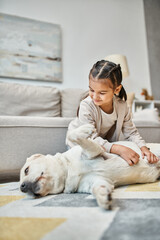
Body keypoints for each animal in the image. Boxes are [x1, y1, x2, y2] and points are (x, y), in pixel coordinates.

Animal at [20, 124, 160, 209]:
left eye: (26, 170)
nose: (22, 187)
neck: (68, 171)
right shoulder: (97, 180)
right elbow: (96, 188)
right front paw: (103, 196)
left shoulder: (96, 150)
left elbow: (74, 136)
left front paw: (84, 130)